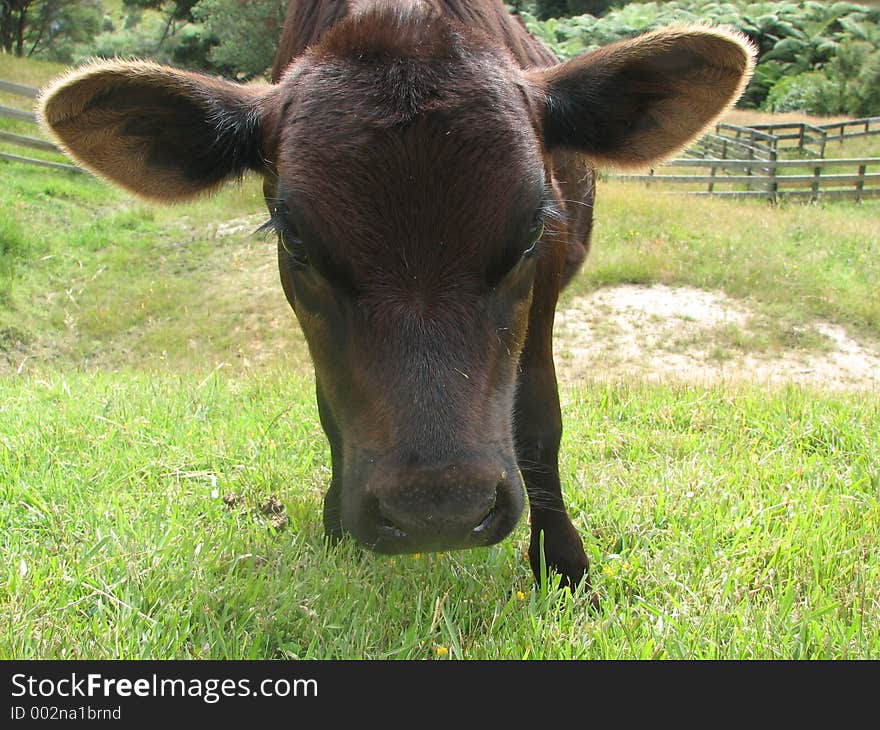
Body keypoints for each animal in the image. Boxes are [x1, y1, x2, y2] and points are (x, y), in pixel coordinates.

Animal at [39, 0, 756, 588]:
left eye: (532, 227)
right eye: (295, 239)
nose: (437, 511)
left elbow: (539, 418)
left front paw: (564, 563)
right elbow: (332, 410)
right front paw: (335, 529)